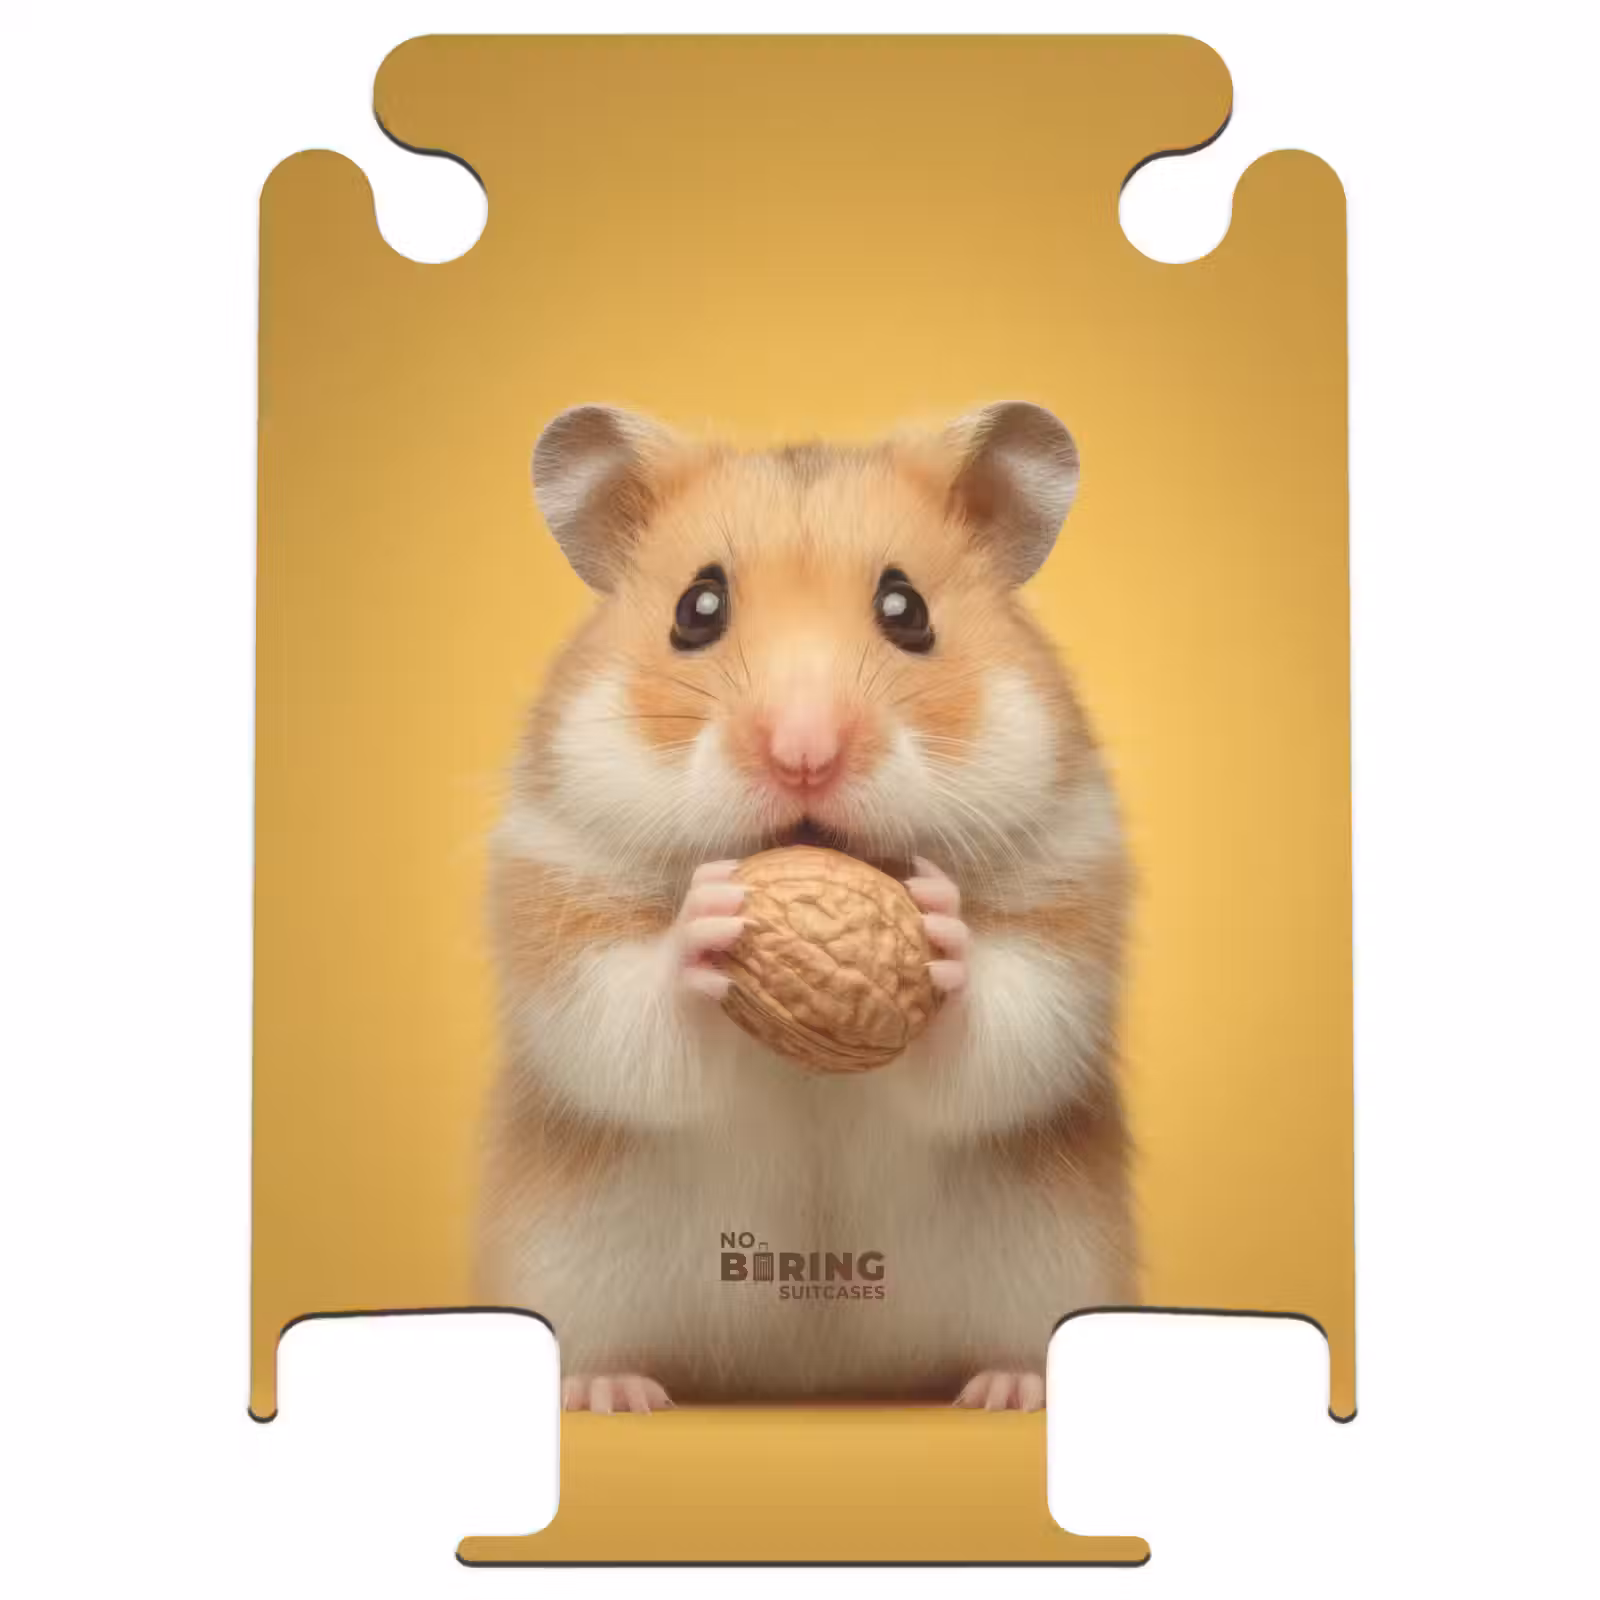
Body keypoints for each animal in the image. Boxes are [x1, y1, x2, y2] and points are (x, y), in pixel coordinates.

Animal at [479, 401, 1134, 1413]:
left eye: (908, 610)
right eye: (696, 609)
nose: (804, 754)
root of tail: (811, 1377)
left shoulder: (1068, 893)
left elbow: (1010, 1027)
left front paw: (940, 926)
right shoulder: (557, 895)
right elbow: (623, 1020)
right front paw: (707, 918)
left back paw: (1008, 1388)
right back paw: (612, 1391)